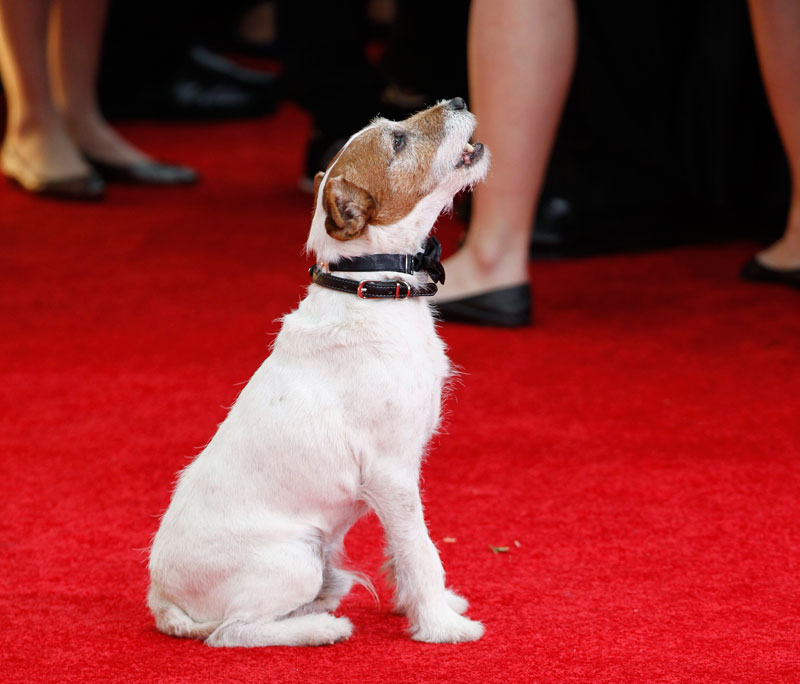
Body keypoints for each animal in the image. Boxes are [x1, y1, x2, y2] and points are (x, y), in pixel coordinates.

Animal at [147, 97, 490, 648]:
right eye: (398, 141)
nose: (458, 100)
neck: (369, 285)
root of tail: (160, 598)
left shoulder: (400, 477)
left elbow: (402, 550)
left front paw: (423, 607)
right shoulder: (391, 474)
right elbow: (421, 550)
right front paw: (442, 625)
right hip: (295, 558)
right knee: (233, 633)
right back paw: (321, 628)